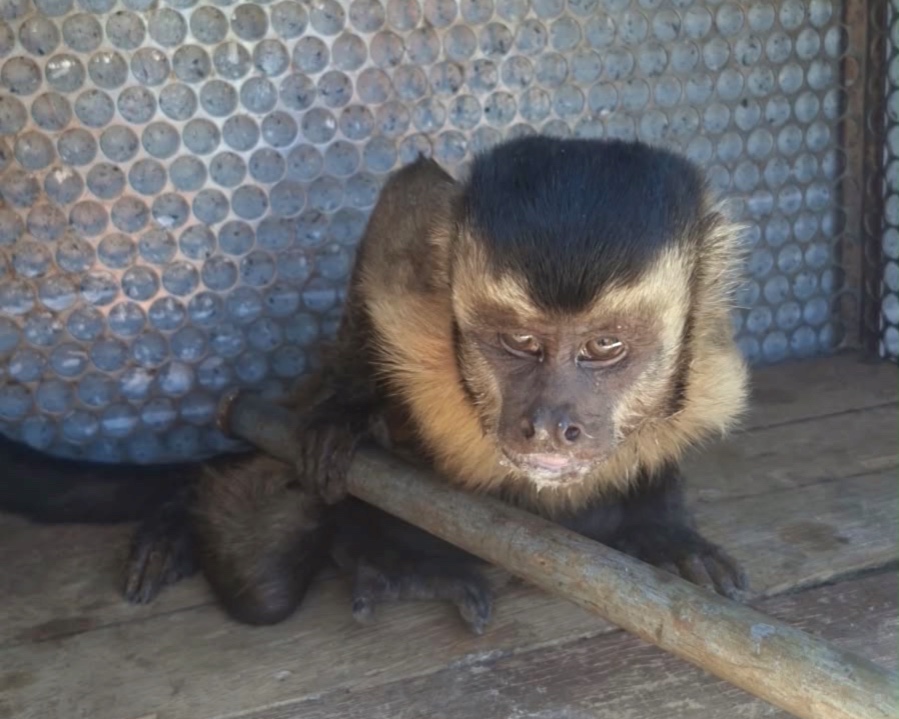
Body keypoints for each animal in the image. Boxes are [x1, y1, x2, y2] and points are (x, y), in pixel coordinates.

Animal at [0, 135, 750, 634]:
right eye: (519, 343)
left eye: (604, 347)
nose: (548, 423)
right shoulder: (413, 276)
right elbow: (402, 202)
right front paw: (348, 408)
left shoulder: (708, 368)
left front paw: (661, 527)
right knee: (260, 580)